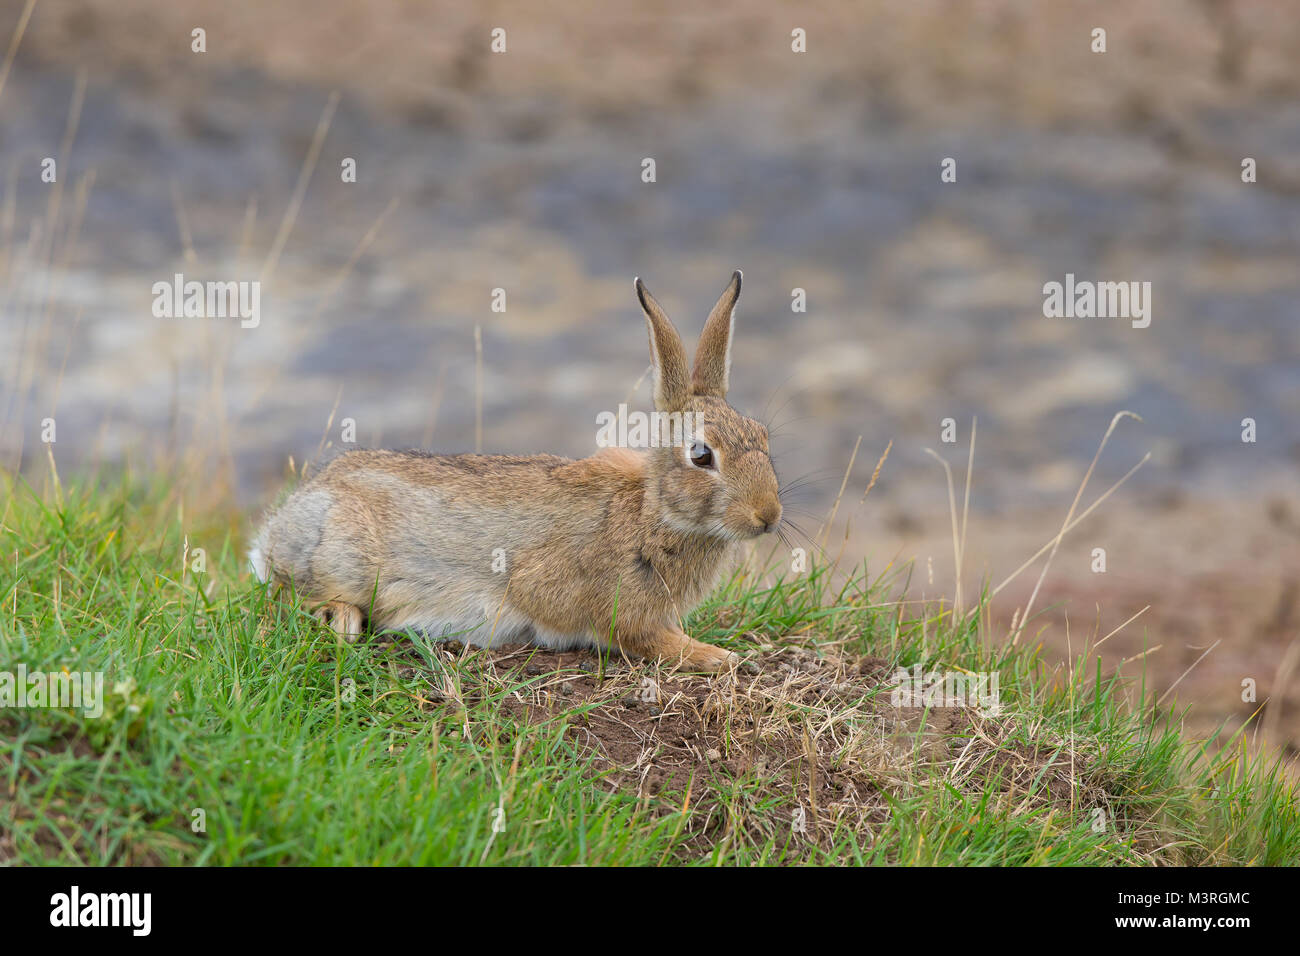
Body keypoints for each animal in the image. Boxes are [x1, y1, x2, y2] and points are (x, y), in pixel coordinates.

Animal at [249, 270, 785, 671]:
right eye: (701, 455)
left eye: (762, 436)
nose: (768, 516)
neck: (653, 513)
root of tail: (280, 524)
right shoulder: (603, 606)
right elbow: (645, 639)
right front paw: (718, 656)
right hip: (339, 556)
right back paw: (340, 618)